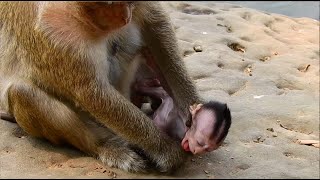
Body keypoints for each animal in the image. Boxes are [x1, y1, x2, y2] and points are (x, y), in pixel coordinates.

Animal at [0, 1, 221, 173]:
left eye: (130, 3)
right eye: (109, 5)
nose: (125, 17)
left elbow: (155, 23)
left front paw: (196, 112)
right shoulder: (52, 28)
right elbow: (90, 92)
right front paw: (167, 151)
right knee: (22, 93)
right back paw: (107, 147)